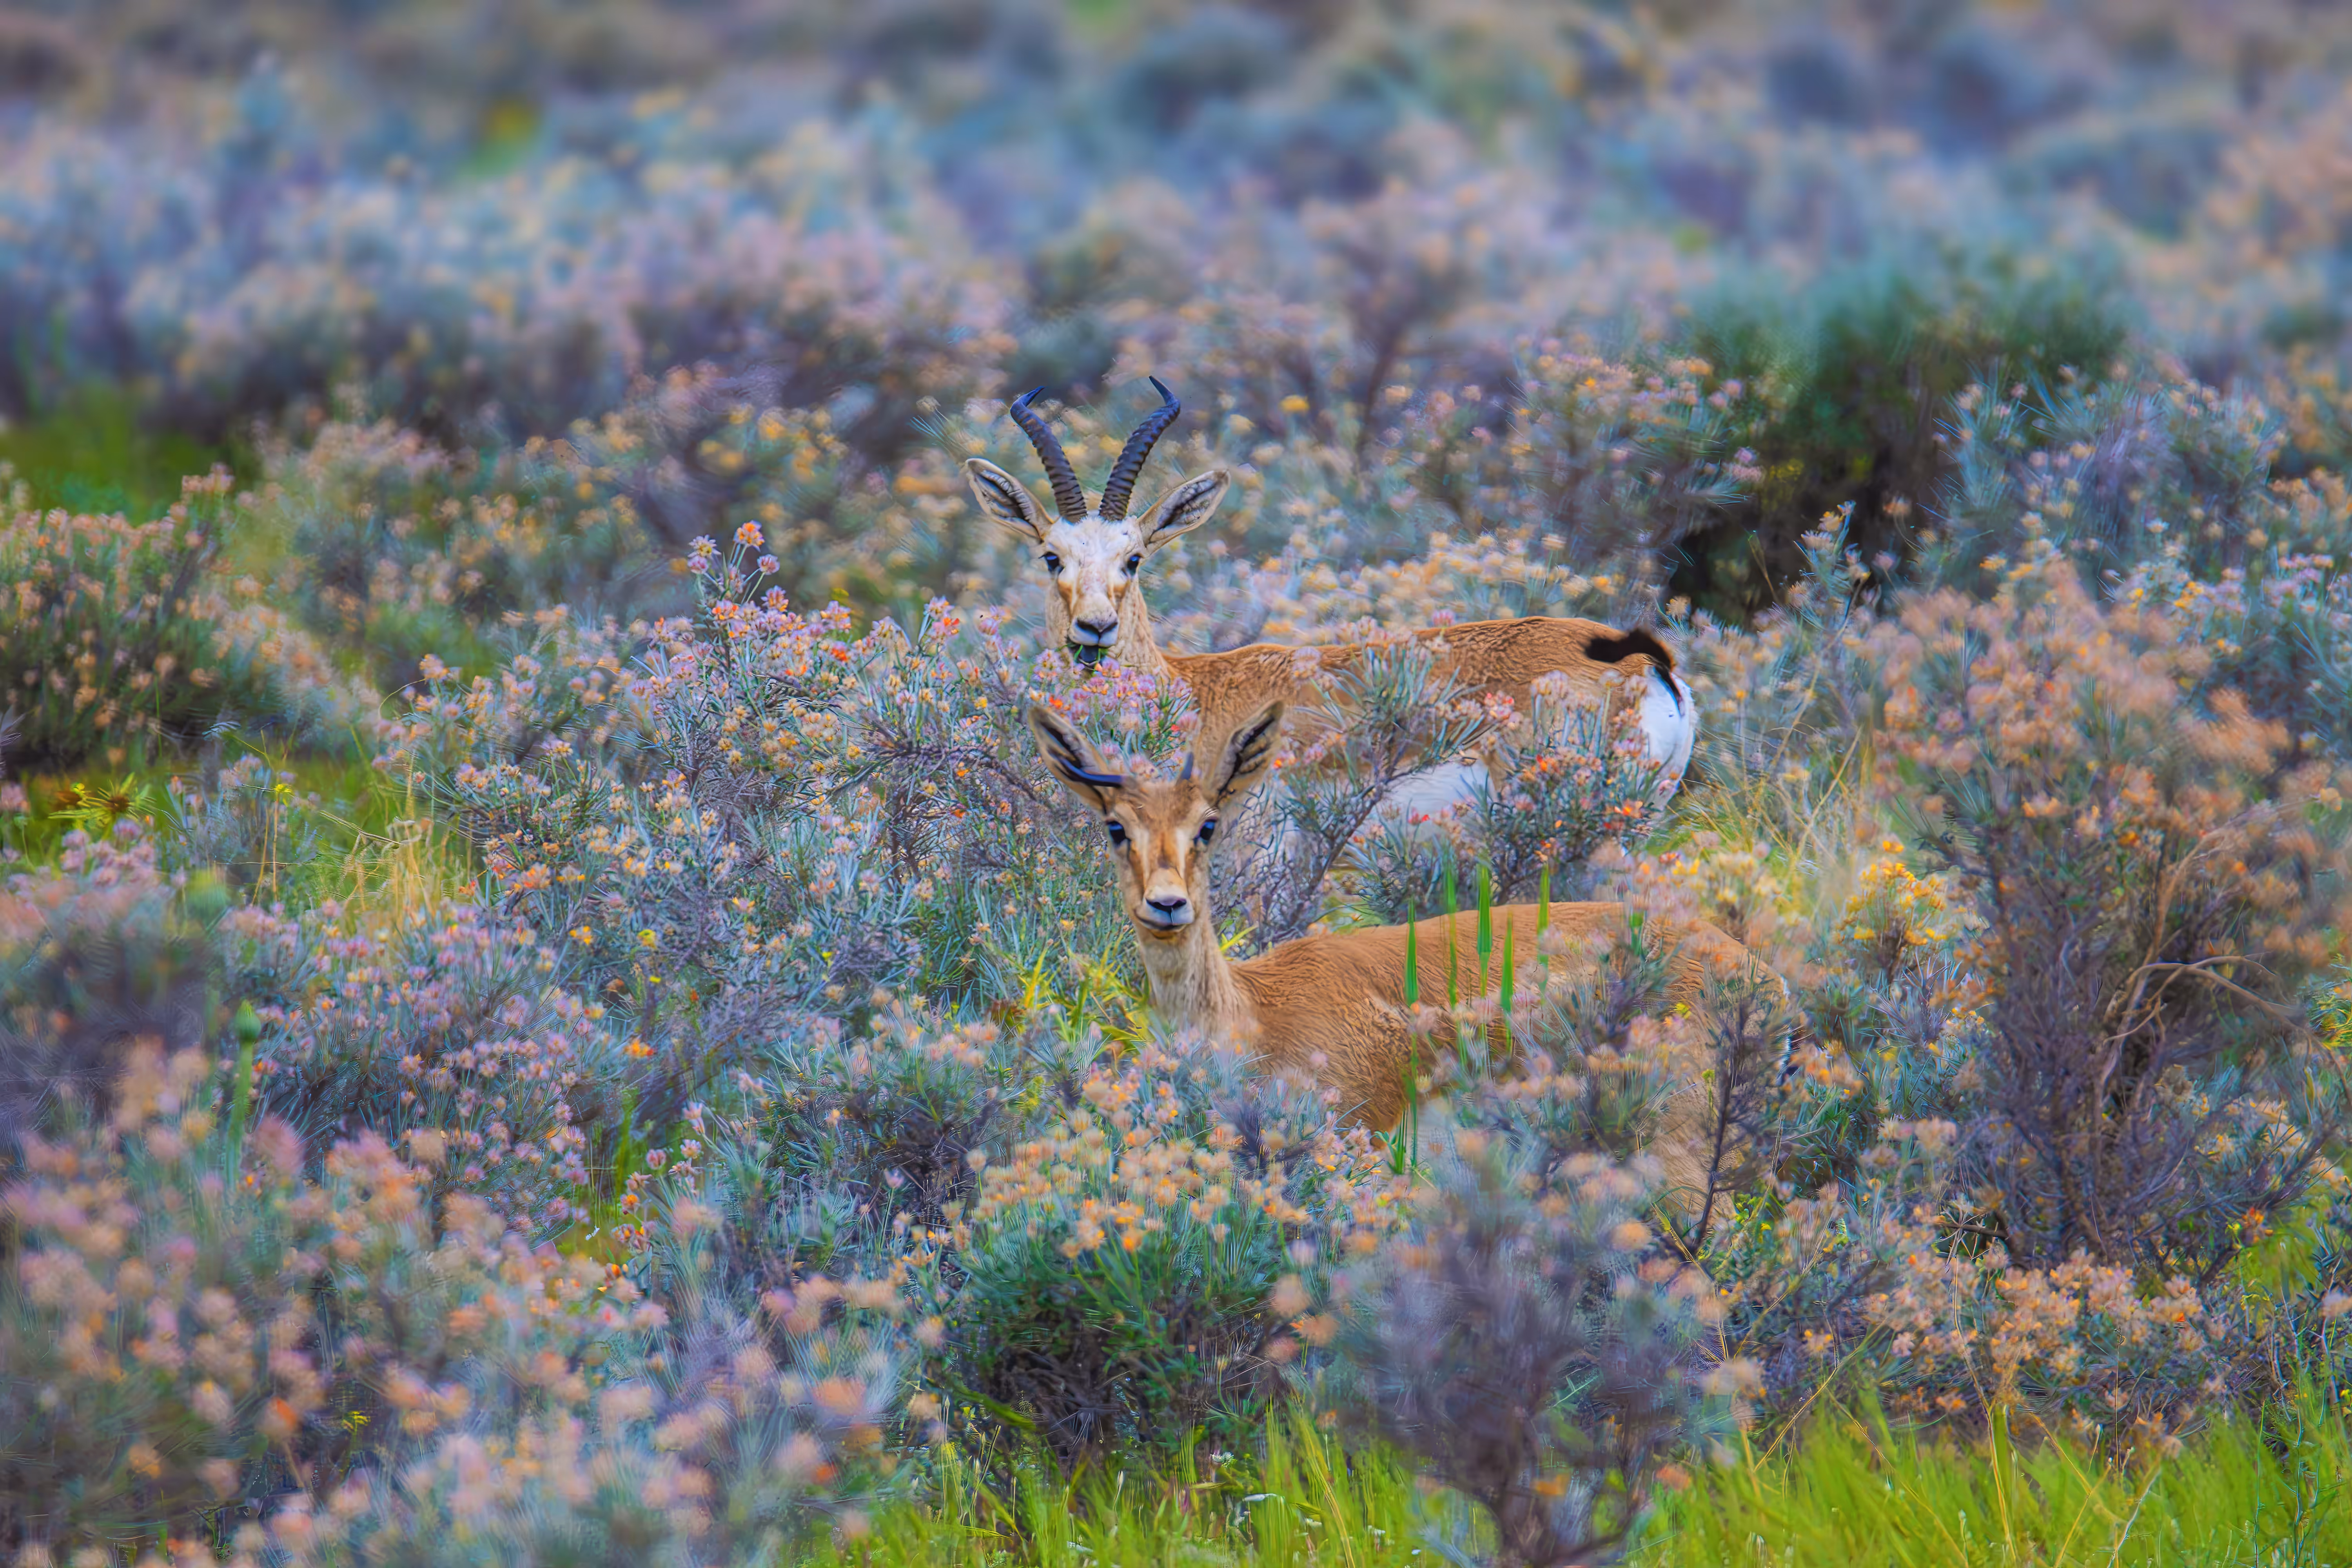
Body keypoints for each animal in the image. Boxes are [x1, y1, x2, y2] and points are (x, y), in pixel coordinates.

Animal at [1027, 698, 1774, 1220]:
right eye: (1116, 826)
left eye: (1207, 825)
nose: (1168, 905)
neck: (1253, 1013)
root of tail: (1756, 972)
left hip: (1676, 1148)